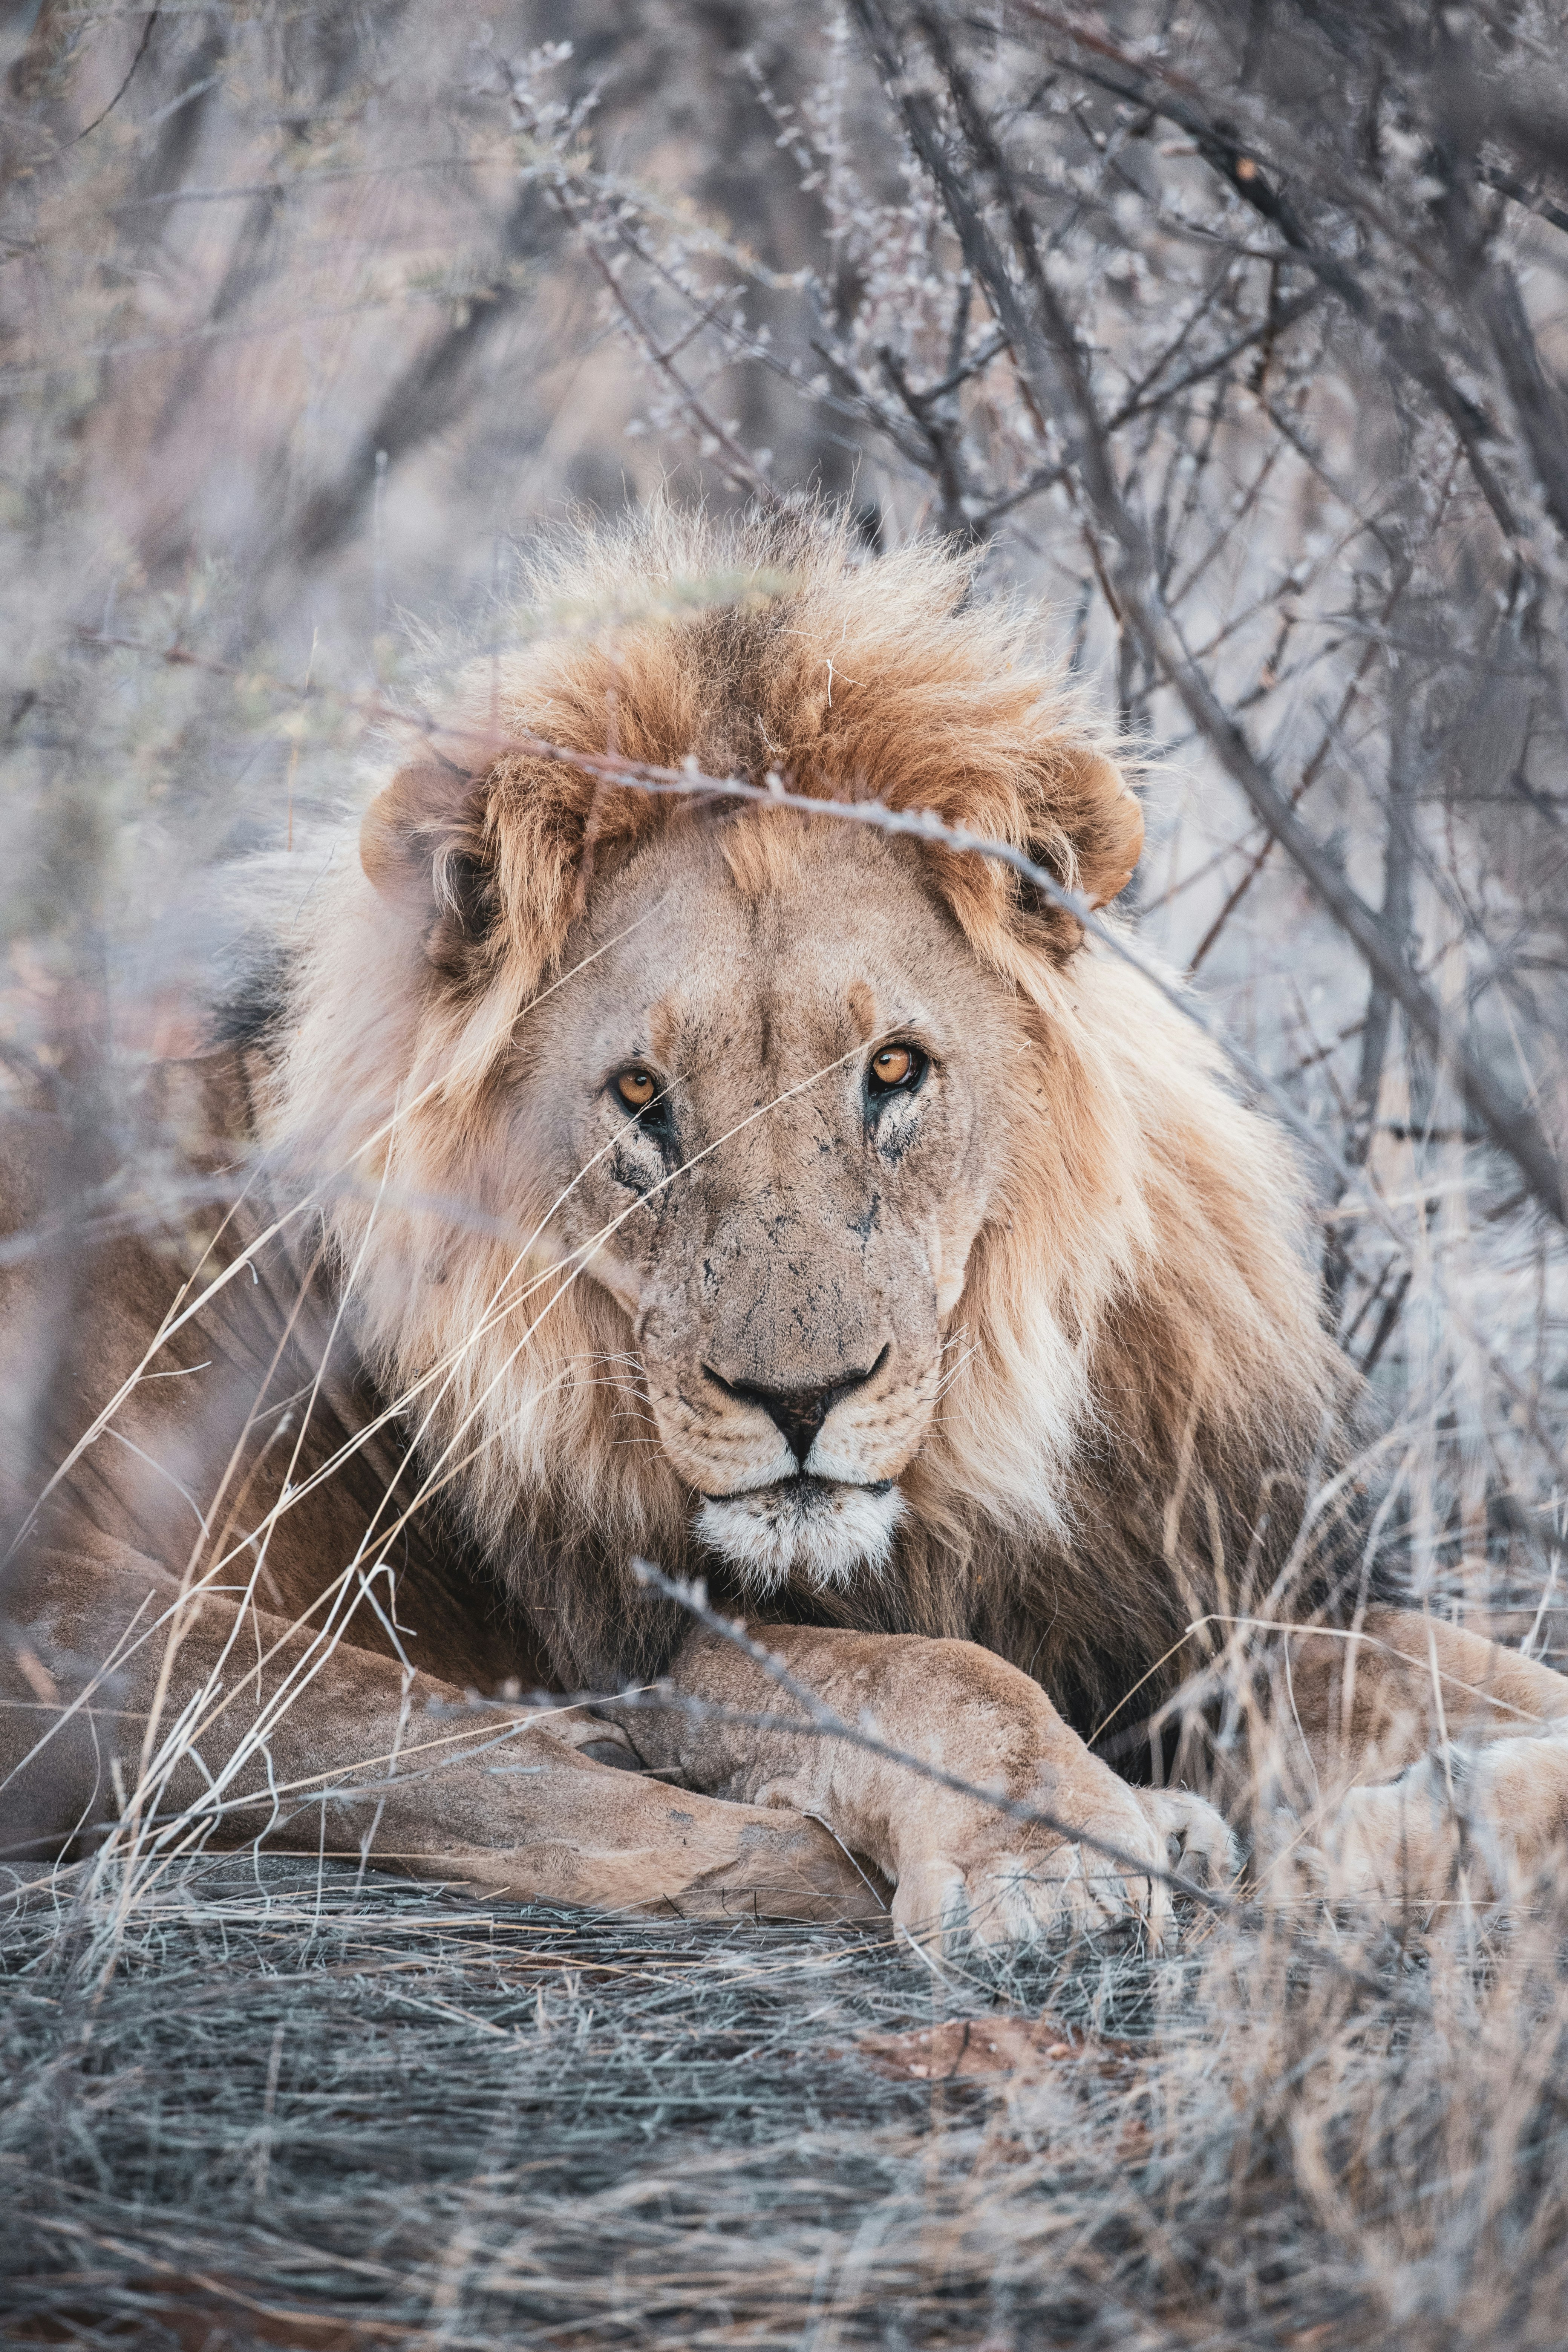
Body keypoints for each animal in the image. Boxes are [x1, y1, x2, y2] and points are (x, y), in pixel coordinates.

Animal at [3, 505, 1568, 1938]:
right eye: (642, 1096)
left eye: (895, 1072)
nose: (802, 1402)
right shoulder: (627, 1630)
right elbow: (916, 1676)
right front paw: (1053, 1857)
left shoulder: (1154, 1599)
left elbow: (1436, 1662)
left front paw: (1439, 1815)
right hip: (105, 1615)